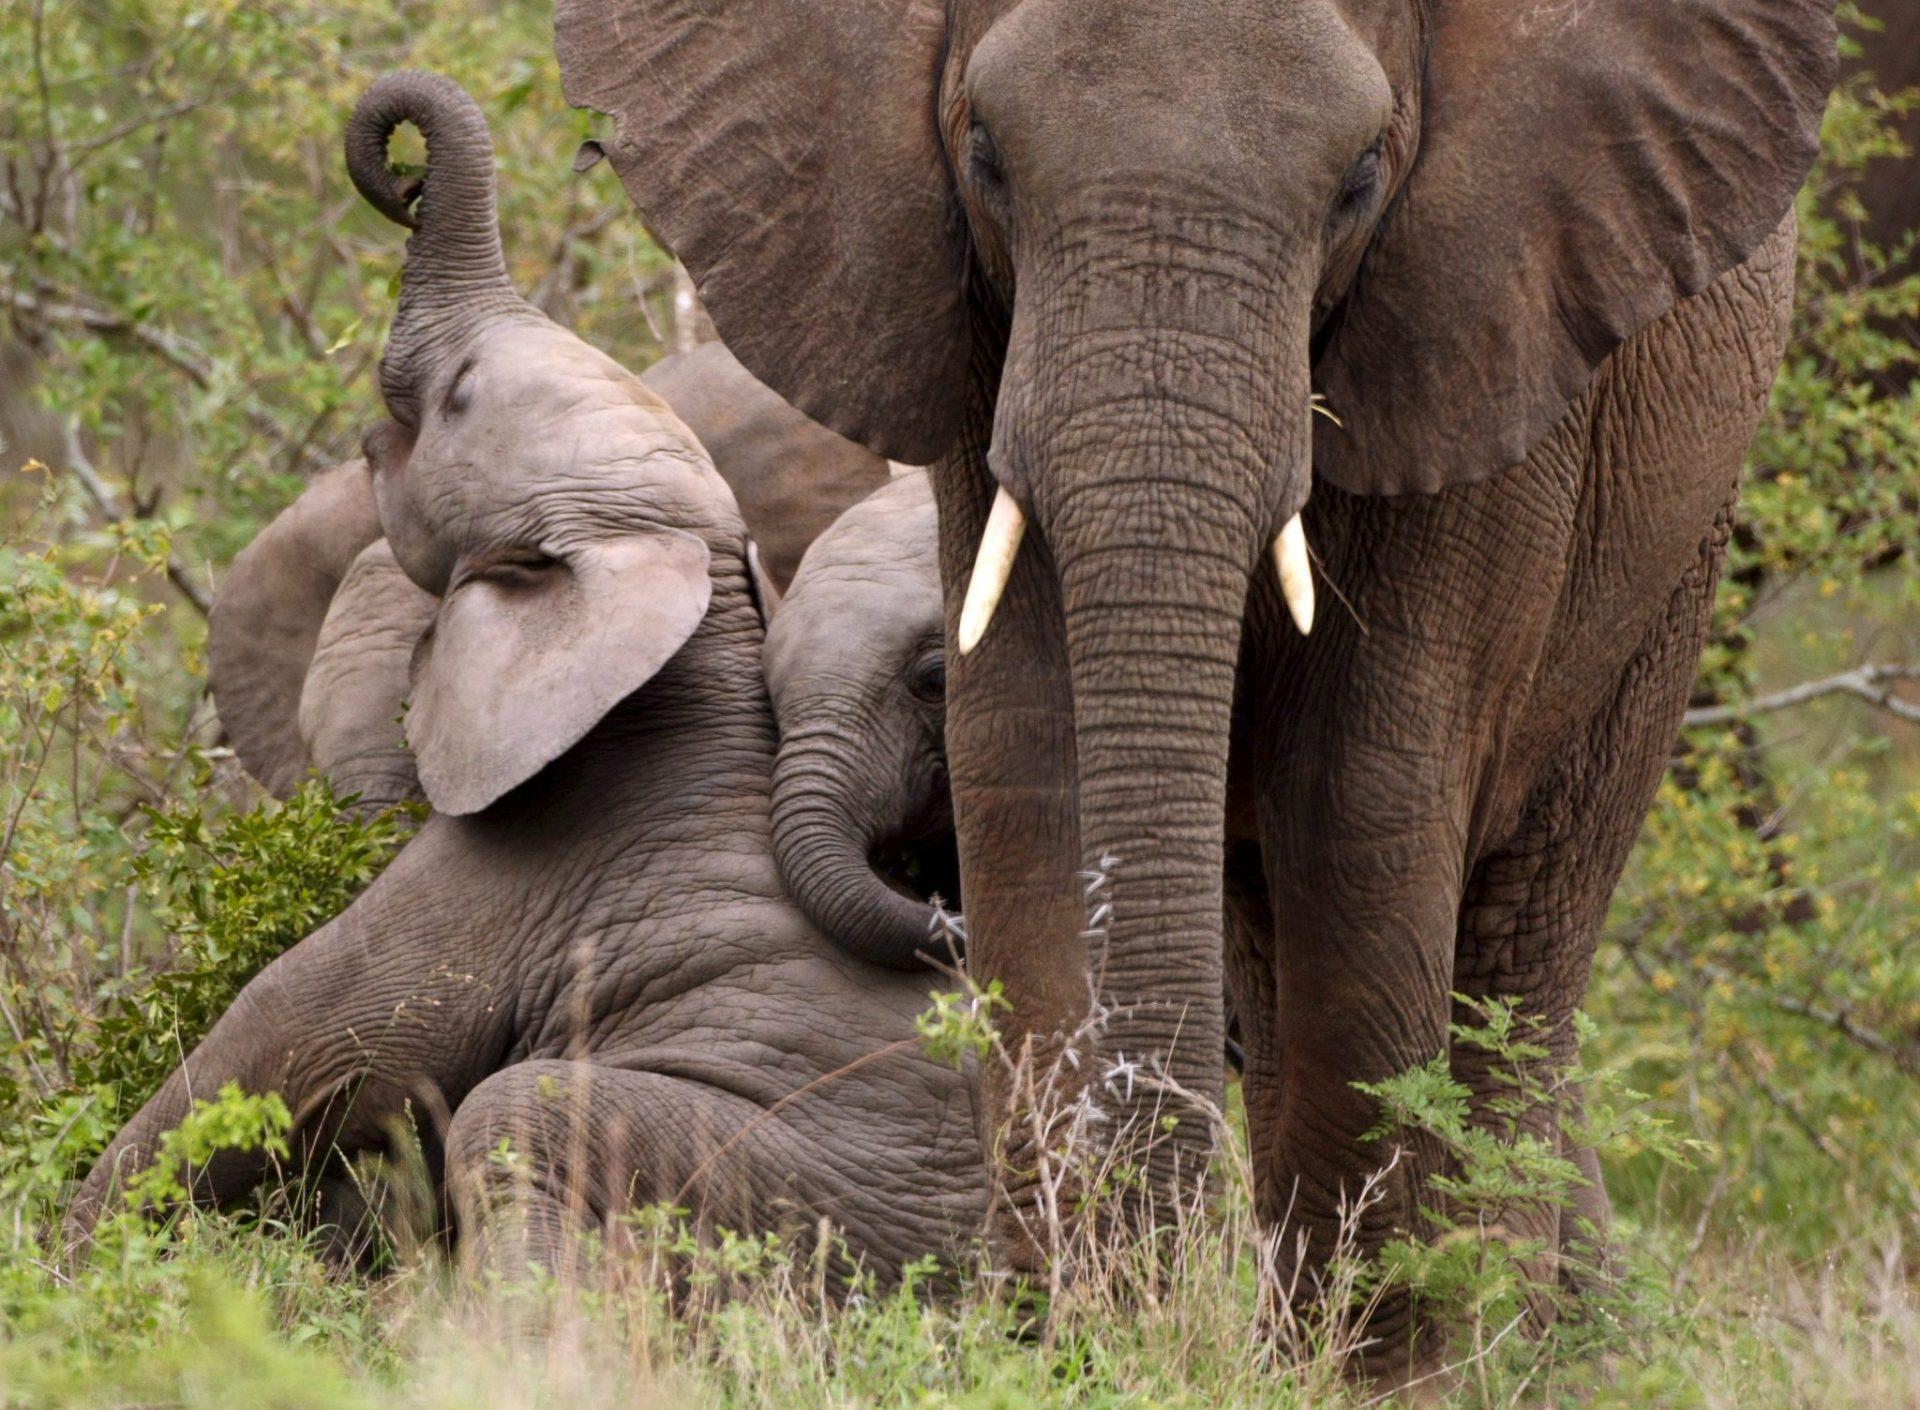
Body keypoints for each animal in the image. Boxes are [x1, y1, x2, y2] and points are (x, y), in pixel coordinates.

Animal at [71, 71, 985, 1287]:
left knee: (520, 1114)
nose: (402, 177)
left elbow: (278, 1046)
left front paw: (61, 1257)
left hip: (827, 1187)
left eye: (459, 397)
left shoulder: (512, 865)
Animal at [557, 0, 1838, 1370]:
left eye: (1362, 178)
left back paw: (1516, 1346)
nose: (1153, 1289)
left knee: (1518, 951)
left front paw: (1368, 1373)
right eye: (985, 153)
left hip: (1674, 563)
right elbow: (1030, 767)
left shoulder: (1482, 335)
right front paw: (1083, 1346)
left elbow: (1360, 798)